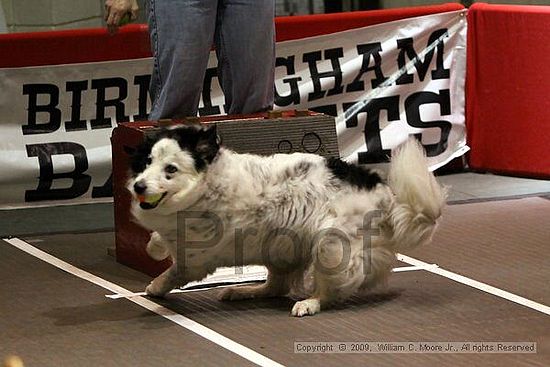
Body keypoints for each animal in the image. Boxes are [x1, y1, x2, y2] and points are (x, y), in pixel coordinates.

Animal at [127, 125, 446, 318]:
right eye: (147, 162)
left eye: (170, 169)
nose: (139, 186)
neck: (207, 185)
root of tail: (386, 195)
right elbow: (156, 241)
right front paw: (154, 247)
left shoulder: (196, 259)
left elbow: (173, 272)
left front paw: (155, 286)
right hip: (281, 250)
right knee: (276, 287)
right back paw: (244, 291)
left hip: (330, 247)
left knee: (334, 289)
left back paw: (310, 303)